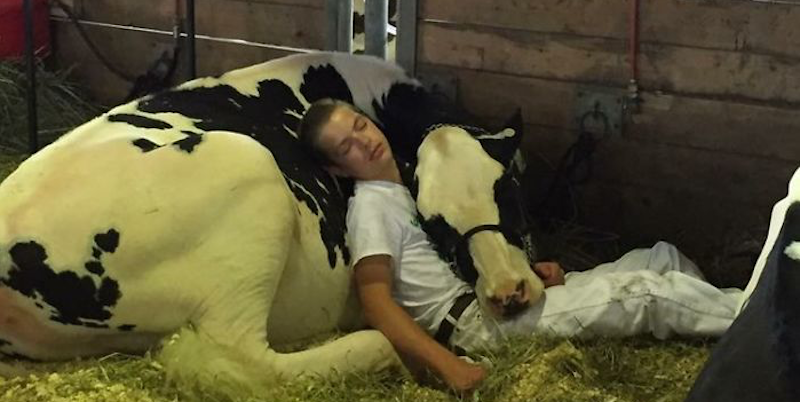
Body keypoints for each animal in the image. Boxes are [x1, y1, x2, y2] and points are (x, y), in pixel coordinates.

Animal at [0, 51, 544, 394]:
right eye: (434, 224)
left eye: (509, 192)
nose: (509, 291)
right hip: (251, 177)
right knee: (243, 360)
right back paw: (380, 350)